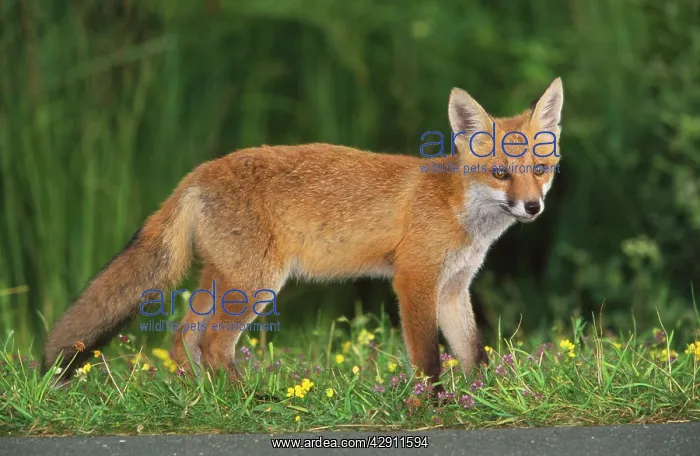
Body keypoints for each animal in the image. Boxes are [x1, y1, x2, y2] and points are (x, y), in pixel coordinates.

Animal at [43, 78, 563, 391]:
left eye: (539, 170)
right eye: (500, 173)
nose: (533, 207)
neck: (458, 209)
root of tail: (198, 173)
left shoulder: (453, 287)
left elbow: (473, 352)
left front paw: (488, 396)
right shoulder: (415, 279)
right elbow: (428, 358)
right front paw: (430, 403)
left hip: (222, 280)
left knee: (181, 339)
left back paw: (201, 397)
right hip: (256, 284)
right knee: (211, 343)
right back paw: (246, 401)